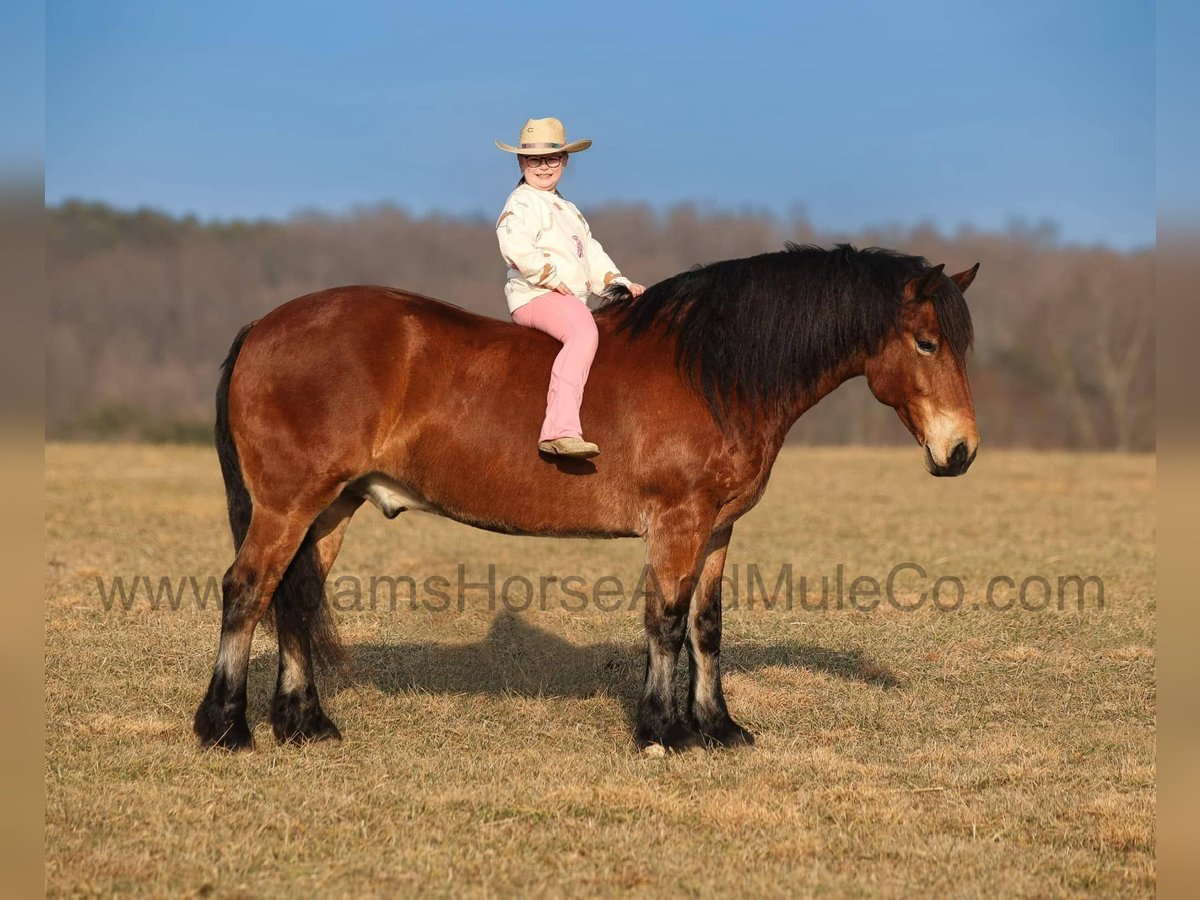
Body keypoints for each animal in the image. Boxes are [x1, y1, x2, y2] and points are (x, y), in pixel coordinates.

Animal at [196, 241, 979, 753]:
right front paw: (662, 732)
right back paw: (226, 728)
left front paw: (718, 728)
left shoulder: (718, 529)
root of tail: (264, 326)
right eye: (927, 343)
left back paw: (305, 725)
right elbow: (665, 624)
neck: (712, 369)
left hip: (330, 507)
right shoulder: (678, 525)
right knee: (247, 590)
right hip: (289, 504)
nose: (961, 451)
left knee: (294, 597)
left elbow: (707, 626)